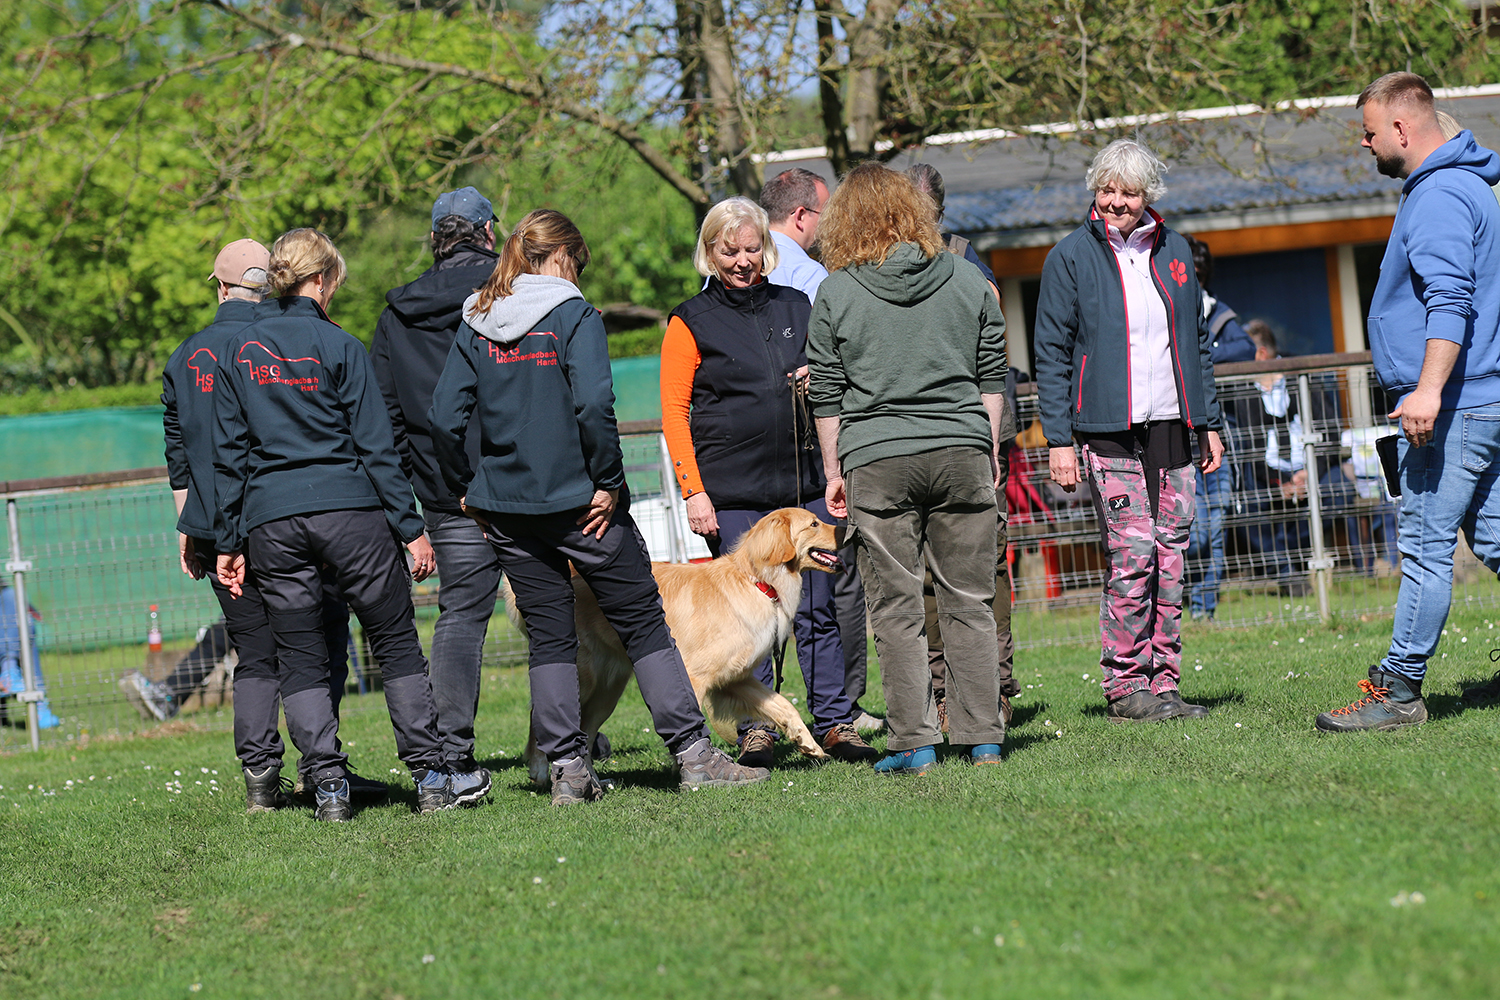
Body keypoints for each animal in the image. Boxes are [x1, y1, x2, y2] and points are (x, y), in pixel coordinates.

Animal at [505, 507, 844, 786]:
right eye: (814, 523)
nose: (845, 527)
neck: (756, 580)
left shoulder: (736, 679)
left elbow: (783, 704)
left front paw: (807, 743)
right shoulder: (693, 676)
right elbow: (691, 721)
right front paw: (692, 768)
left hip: (607, 691)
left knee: (585, 733)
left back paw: (594, 781)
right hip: (585, 677)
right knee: (541, 715)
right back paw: (540, 771)